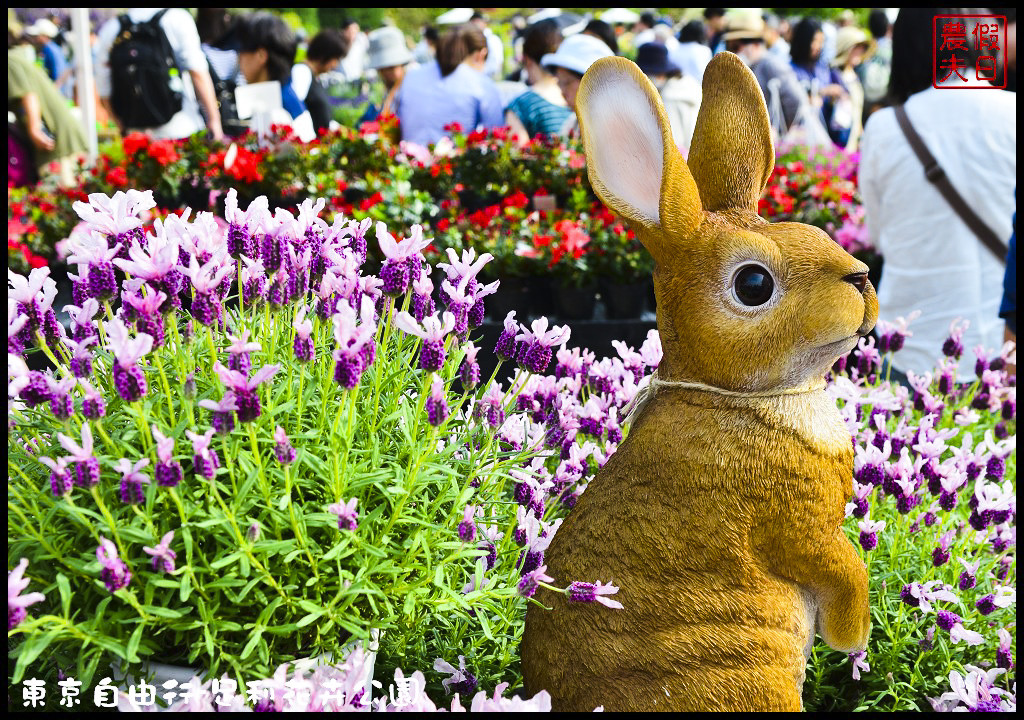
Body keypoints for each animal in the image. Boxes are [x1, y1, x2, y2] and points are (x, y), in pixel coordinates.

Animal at [524, 53, 876, 712]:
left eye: (814, 234)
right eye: (753, 285)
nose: (862, 278)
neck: (745, 396)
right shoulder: (798, 525)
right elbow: (844, 564)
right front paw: (851, 635)